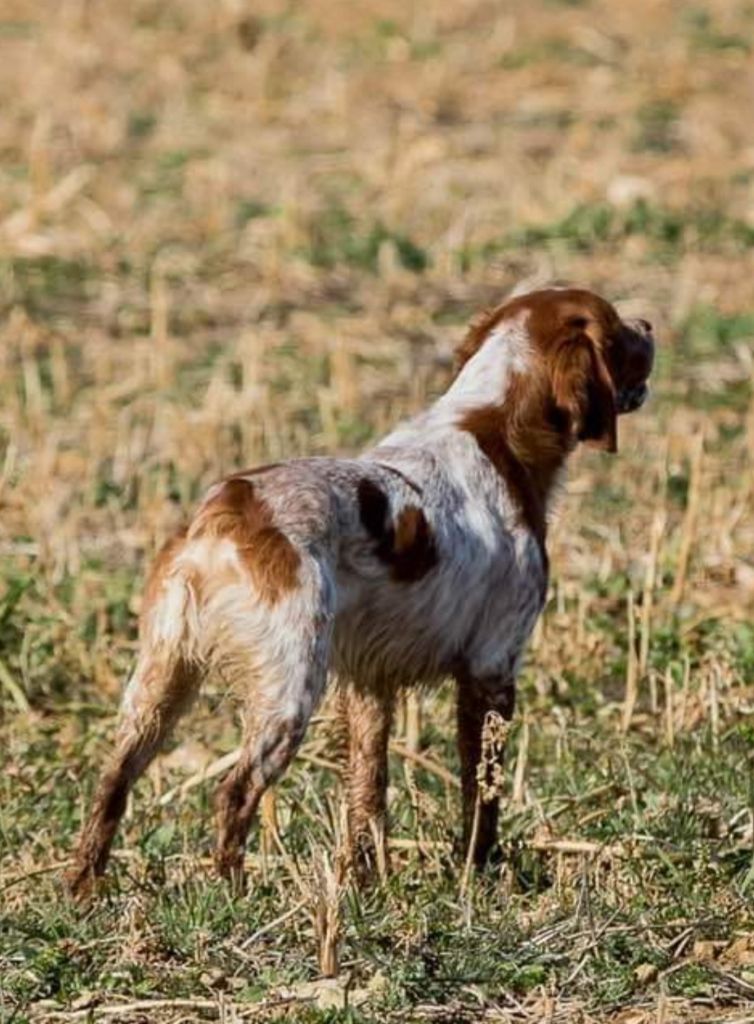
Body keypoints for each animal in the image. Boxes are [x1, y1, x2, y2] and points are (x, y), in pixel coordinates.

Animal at [64, 288, 655, 897]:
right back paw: (235, 893)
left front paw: (362, 881)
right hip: (289, 690)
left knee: (112, 783)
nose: (650, 325)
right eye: (618, 331)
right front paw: (479, 871)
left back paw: (83, 888)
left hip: (160, 682)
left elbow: (367, 792)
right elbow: (481, 793)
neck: (493, 428)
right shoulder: (491, 669)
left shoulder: (371, 685)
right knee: (234, 792)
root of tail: (224, 515)